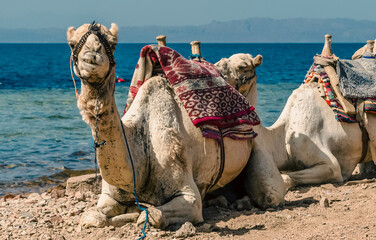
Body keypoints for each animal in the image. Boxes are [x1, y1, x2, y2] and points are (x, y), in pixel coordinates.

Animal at [67, 22, 268, 229]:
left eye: (113, 43)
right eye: (72, 44)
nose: (91, 58)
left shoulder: (188, 195)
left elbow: (151, 216)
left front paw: (135, 214)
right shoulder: (109, 195)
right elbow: (92, 217)